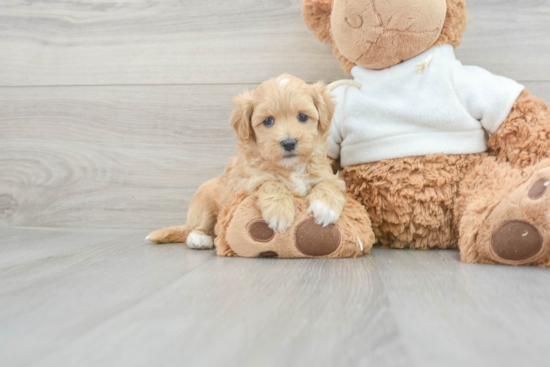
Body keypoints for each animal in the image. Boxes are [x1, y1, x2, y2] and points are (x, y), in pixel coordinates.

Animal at [147, 75, 344, 250]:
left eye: (303, 117)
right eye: (268, 121)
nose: (288, 143)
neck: (290, 167)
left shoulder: (325, 174)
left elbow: (329, 184)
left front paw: (326, 208)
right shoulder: (247, 184)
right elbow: (271, 183)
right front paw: (280, 211)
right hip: (203, 202)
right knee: (197, 227)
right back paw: (199, 238)